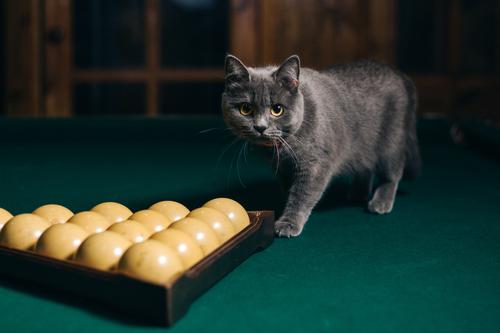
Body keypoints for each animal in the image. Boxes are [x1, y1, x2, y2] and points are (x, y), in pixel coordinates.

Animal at [221, 54, 420, 236]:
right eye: (245, 109)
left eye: (277, 109)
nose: (260, 127)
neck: (284, 147)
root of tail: (398, 73)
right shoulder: (282, 168)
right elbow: (289, 188)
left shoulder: (315, 164)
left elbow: (302, 194)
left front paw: (288, 223)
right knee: (365, 165)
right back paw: (358, 193)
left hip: (392, 139)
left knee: (392, 173)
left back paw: (381, 201)